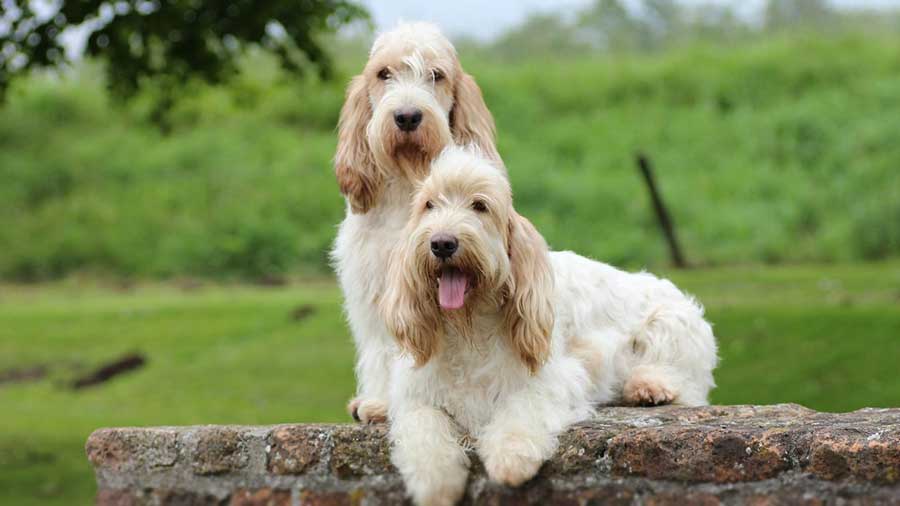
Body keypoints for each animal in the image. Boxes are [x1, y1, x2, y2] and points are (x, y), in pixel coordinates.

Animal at [380, 146, 716, 506]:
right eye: (429, 205)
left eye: (479, 205)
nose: (442, 243)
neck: (468, 328)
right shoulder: (415, 395)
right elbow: (423, 429)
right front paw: (436, 482)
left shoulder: (551, 380)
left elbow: (521, 410)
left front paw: (510, 458)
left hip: (670, 322)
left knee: (684, 382)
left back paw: (649, 387)